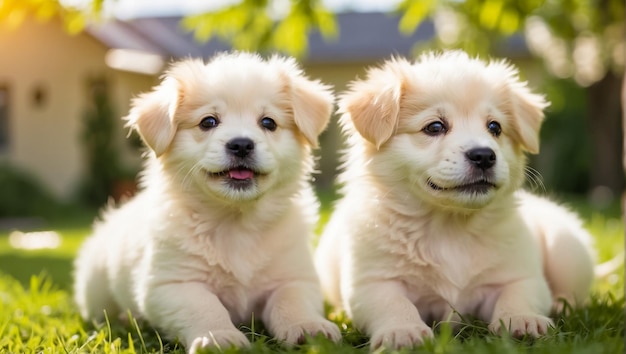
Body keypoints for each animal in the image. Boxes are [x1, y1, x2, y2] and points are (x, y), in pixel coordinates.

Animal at [75, 51, 344, 352]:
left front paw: (308, 328)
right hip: (94, 289)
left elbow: (292, 301)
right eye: (208, 122)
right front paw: (219, 337)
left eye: (268, 123)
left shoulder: (294, 276)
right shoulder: (174, 283)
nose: (241, 144)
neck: (235, 222)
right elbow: (205, 307)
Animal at [314, 50, 592, 352]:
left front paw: (522, 320)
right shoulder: (373, 282)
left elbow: (517, 295)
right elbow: (394, 304)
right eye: (435, 127)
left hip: (567, 251)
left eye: (495, 127)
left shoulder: (519, 275)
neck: (450, 226)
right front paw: (403, 331)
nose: (484, 155)